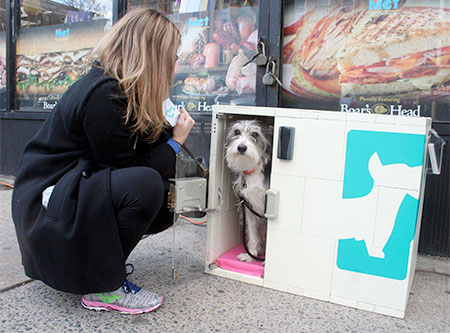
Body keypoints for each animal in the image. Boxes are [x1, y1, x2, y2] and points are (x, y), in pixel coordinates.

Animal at [224, 119, 270, 262]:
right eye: (237, 132)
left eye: (255, 134)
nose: (241, 148)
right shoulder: (249, 207)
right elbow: (252, 232)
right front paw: (251, 254)